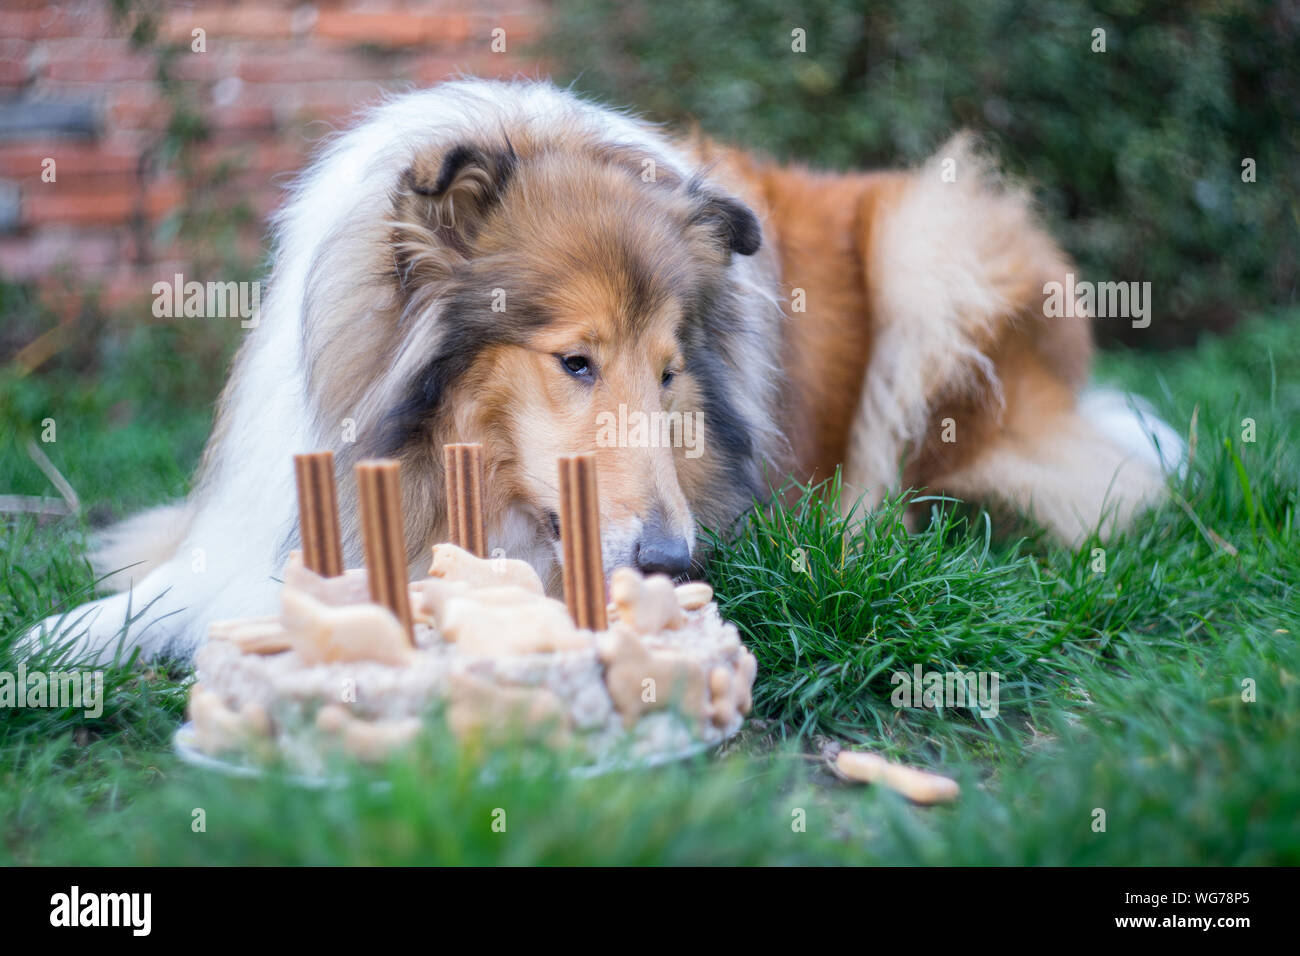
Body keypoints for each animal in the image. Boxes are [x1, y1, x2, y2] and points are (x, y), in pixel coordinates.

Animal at [25, 78, 1180, 665]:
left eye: (671, 373)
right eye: (574, 360)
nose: (671, 561)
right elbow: (174, 588)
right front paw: (55, 641)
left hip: (931, 242)